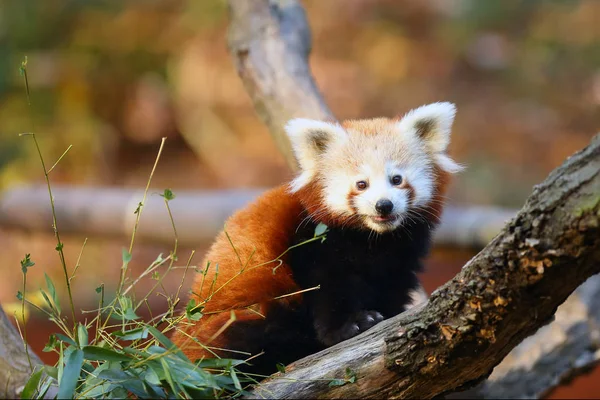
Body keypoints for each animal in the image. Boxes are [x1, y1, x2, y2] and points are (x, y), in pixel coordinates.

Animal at [171, 101, 462, 374]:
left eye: (397, 179)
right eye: (361, 184)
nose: (384, 205)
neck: (373, 240)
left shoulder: (399, 259)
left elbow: (391, 287)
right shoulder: (311, 241)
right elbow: (327, 287)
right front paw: (350, 325)